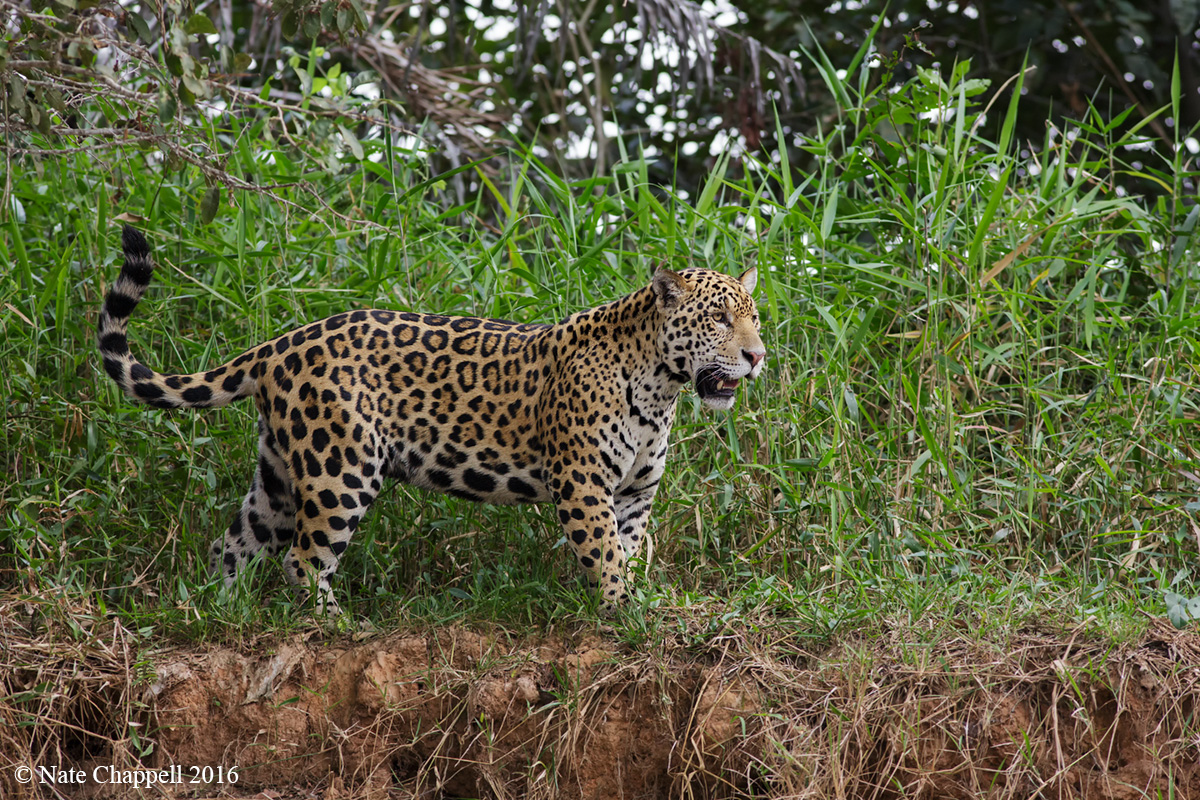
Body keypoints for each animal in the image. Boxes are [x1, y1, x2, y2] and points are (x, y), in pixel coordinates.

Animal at [97, 225, 767, 613]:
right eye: (718, 318)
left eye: (754, 316)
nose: (758, 356)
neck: (660, 387)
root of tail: (280, 342)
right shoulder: (583, 483)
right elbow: (603, 554)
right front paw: (625, 613)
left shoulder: (632, 493)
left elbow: (626, 549)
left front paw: (633, 603)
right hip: (340, 468)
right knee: (303, 560)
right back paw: (339, 627)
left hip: (280, 476)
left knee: (235, 544)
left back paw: (216, 612)